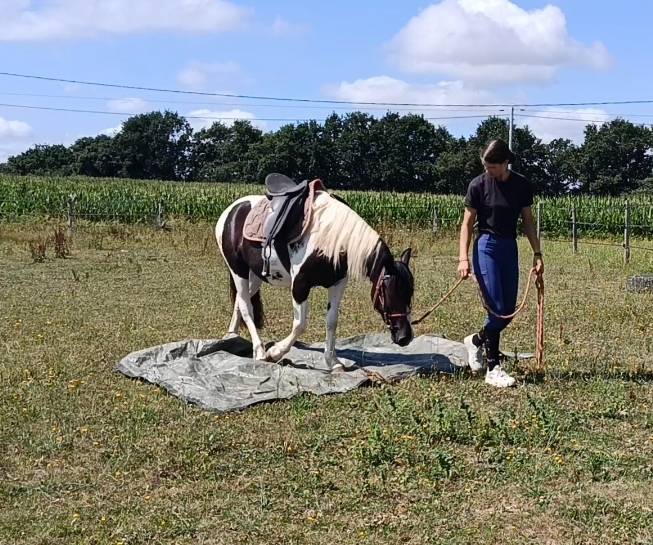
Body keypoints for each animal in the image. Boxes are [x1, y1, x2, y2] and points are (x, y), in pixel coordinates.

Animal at [215, 185, 414, 371]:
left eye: (410, 292)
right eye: (390, 291)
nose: (405, 337)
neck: (330, 238)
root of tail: (232, 210)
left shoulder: (337, 284)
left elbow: (332, 321)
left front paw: (333, 362)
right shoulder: (300, 285)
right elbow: (300, 324)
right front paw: (275, 352)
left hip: (255, 275)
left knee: (240, 300)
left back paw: (231, 337)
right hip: (238, 270)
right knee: (246, 306)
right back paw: (260, 352)